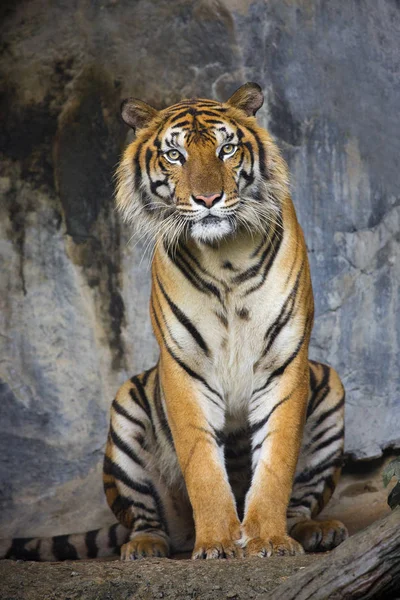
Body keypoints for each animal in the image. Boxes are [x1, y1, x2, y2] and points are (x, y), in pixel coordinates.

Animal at [0, 82, 346, 560]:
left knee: (301, 503)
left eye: (226, 148)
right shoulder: (184, 367)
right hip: (126, 411)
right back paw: (144, 547)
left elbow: (276, 464)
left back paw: (315, 530)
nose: (208, 200)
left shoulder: (284, 361)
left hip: (329, 386)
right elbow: (203, 465)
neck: (226, 257)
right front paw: (218, 542)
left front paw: (269, 540)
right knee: (147, 520)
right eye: (175, 155)